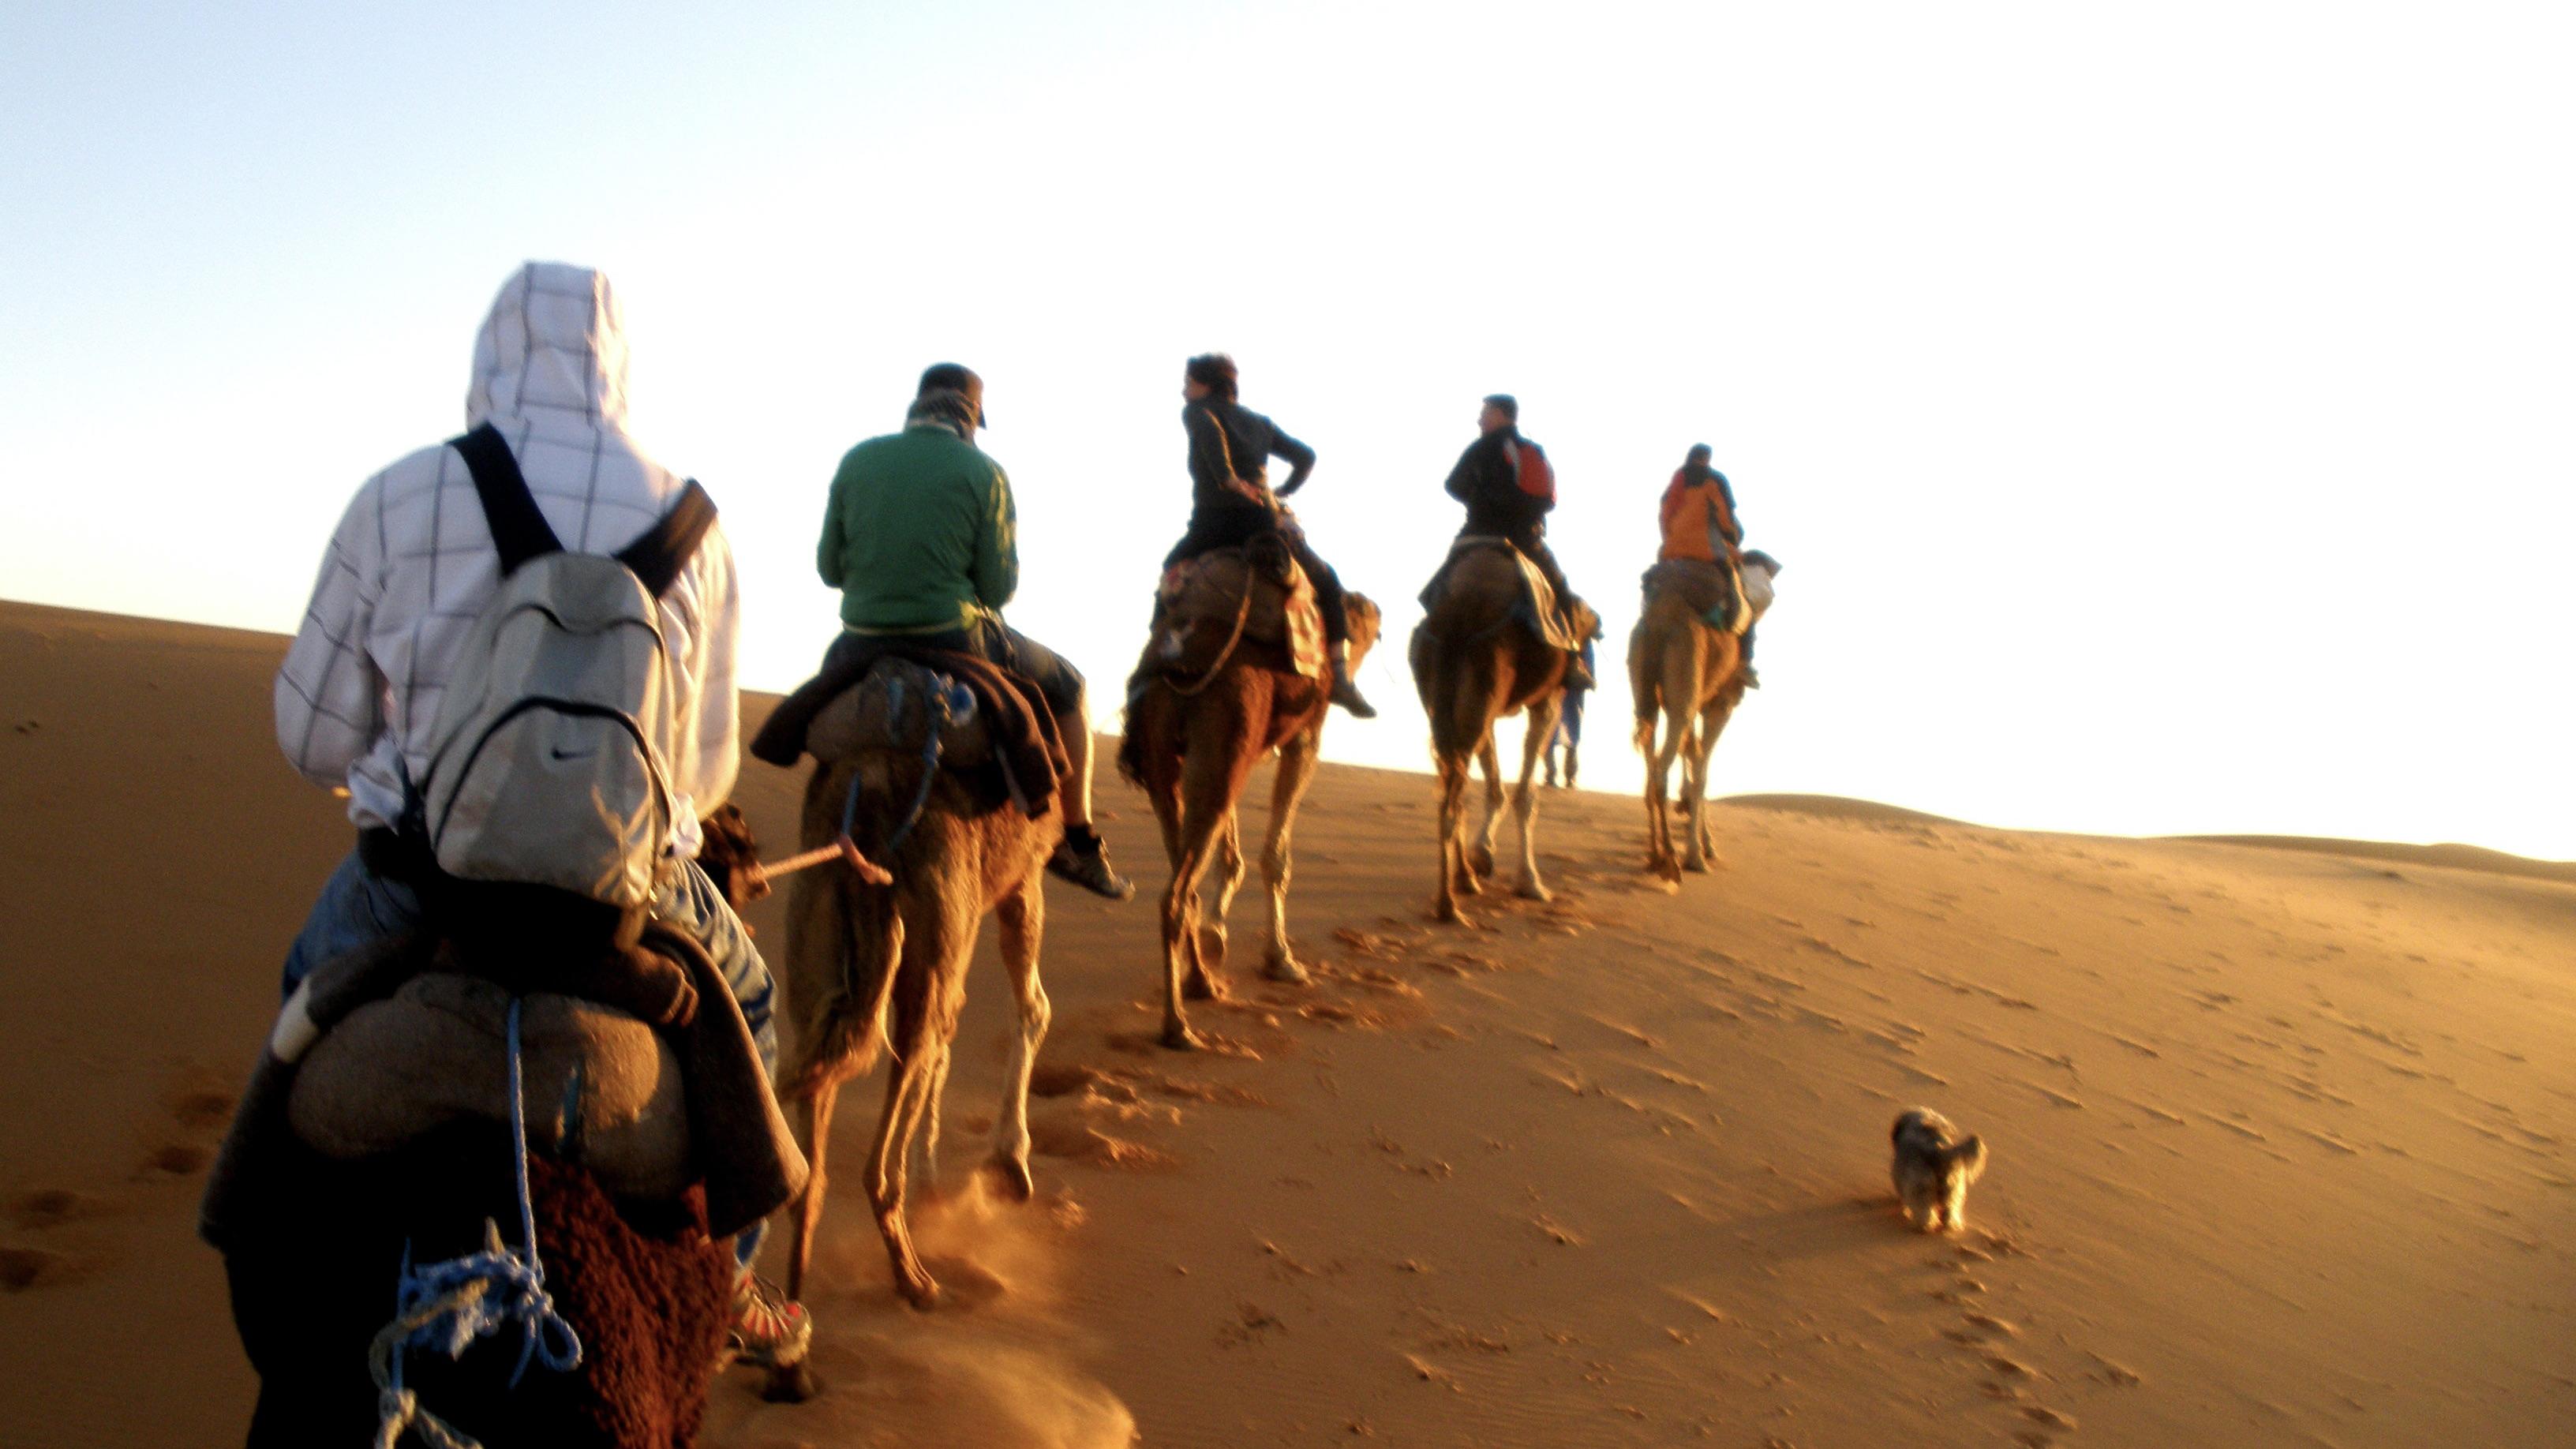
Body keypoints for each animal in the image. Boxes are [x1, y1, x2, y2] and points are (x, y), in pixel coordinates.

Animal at [762, 660, 1056, 1392]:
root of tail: (869, 785)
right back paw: (915, 1280)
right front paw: (1010, 1161)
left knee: (818, 1117)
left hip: (827, 922)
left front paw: (942, 1180)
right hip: (931, 914)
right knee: (897, 1096)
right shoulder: (1019, 886)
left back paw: (794, 1348)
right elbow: (1030, 1010)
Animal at [1118, 546, 1380, 1041]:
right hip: (1223, 730)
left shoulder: (1235, 754)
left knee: (1184, 875)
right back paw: (1177, 1026)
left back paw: (1202, 984)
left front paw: (1217, 935)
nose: (1378, 612)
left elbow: (1231, 853)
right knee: (1175, 895)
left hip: (1170, 764)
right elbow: (1276, 856)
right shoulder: (1305, 735)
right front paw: (1282, 961)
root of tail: (1175, 658)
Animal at [1401, 541, 1576, 923]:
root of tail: (1458, 614)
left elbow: (1496, 786)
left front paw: (1482, 856)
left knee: (1452, 783)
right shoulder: (1548, 701)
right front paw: (1530, 882)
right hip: (1487, 686)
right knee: (1452, 798)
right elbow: (1526, 795)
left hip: (1446, 702)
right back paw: (1449, 904)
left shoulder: (1492, 710)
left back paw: (1463, 881)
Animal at [1896, 1103, 1988, 1227]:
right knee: (1950, 1208)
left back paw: (1925, 1224)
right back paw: (1949, 1225)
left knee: (1924, 1207)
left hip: (1922, 1184)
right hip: (1953, 1187)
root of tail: (1939, 1150)